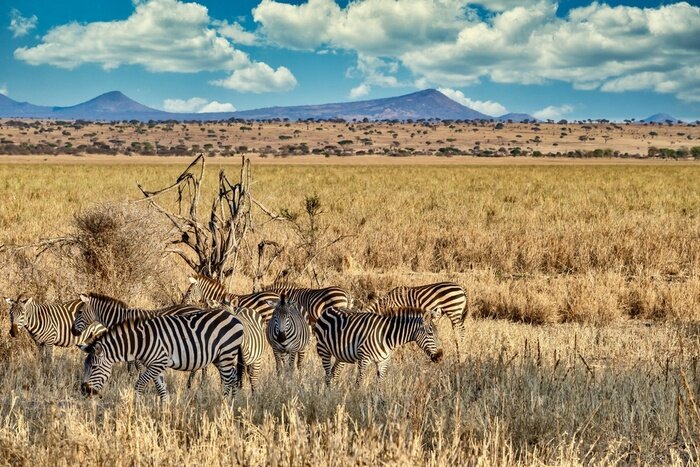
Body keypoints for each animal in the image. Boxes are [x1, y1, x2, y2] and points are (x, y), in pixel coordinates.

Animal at [78, 309, 244, 399]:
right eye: (85, 367)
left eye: (94, 367)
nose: (84, 391)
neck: (141, 341)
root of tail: (233, 316)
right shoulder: (156, 366)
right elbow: (161, 390)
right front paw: (164, 412)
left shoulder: (158, 363)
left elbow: (139, 385)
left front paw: (137, 409)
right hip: (219, 357)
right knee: (233, 376)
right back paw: (231, 403)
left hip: (227, 353)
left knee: (228, 380)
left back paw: (223, 406)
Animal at [314, 307, 444, 386]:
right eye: (430, 333)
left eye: (437, 334)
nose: (440, 357)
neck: (387, 336)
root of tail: (329, 309)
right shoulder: (364, 359)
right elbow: (359, 382)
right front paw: (357, 398)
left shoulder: (383, 361)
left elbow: (380, 384)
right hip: (324, 350)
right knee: (328, 375)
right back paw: (329, 395)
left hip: (340, 355)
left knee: (334, 373)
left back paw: (335, 393)